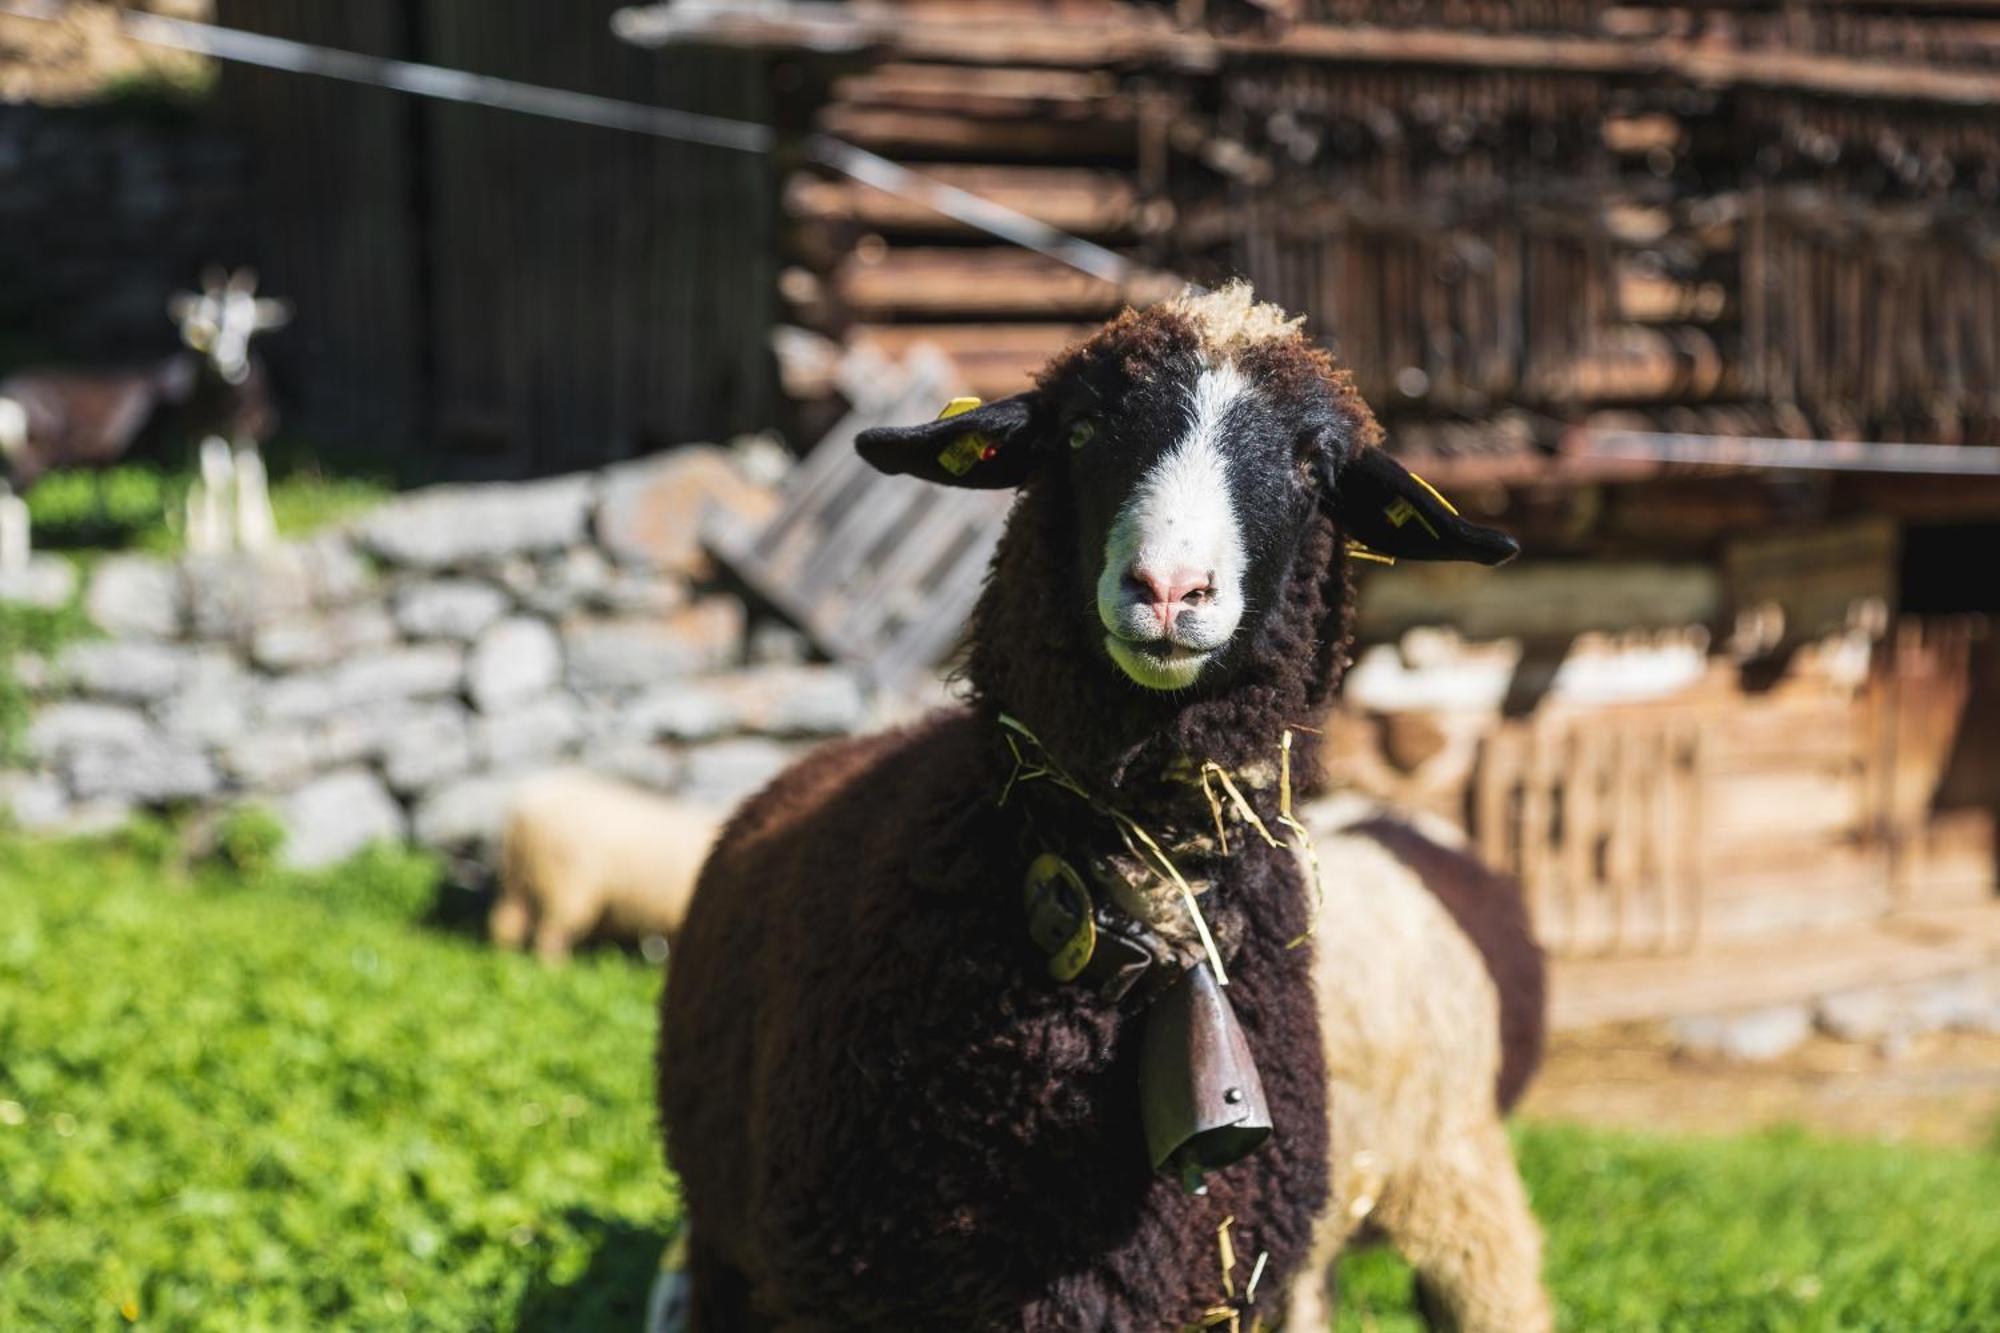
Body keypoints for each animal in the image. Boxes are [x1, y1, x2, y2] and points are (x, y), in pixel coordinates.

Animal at [486, 764, 728, 960]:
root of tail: (520, 813)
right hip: (565, 883)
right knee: (550, 931)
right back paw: (555, 968)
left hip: (519, 878)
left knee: (506, 922)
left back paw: (505, 958)